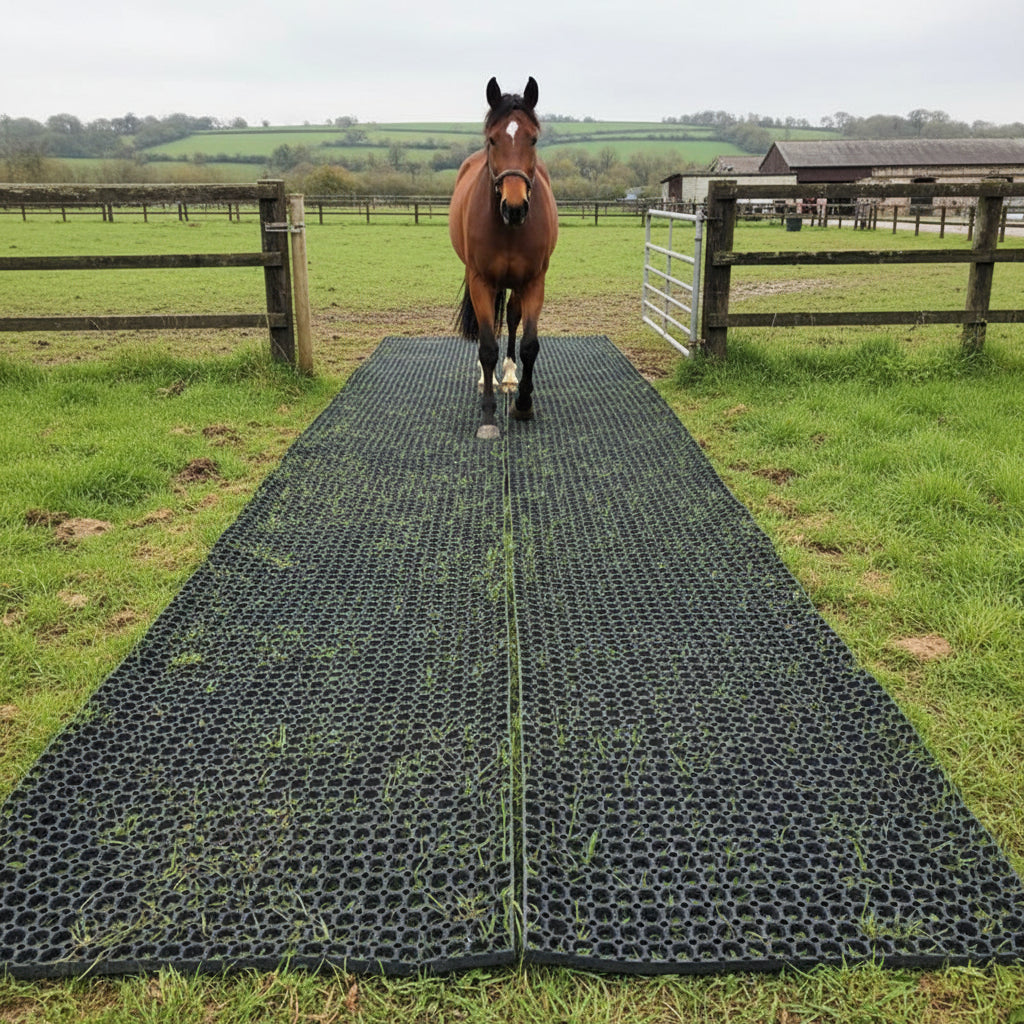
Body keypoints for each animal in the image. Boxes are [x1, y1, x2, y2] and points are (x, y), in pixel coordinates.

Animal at [449, 76, 558, 439]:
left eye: (533, 138)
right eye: (493, 139)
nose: (514, 207)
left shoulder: (534, 282)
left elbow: (529, 344)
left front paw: (523, 405)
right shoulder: (481, 281)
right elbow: (486, 347)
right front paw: (488, 415)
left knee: (510, 319)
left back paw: (510, 375)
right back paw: (489, 378)